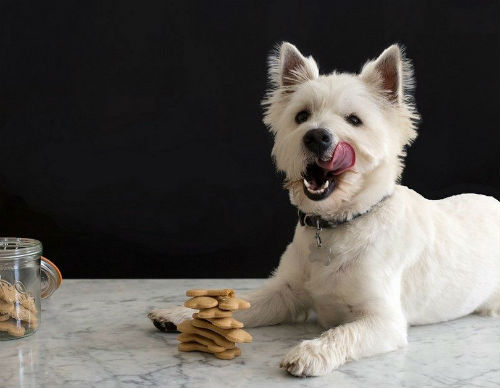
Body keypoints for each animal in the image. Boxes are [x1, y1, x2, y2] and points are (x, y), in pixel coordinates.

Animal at [149, 41, 500, 376]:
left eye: (355, 120)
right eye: (301, 116)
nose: (316, 136)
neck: (337, 223)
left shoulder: (383, 321)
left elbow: (344, 333)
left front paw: (309, 353)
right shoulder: (285, 291)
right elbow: (242, 302)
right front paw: (182, 313)